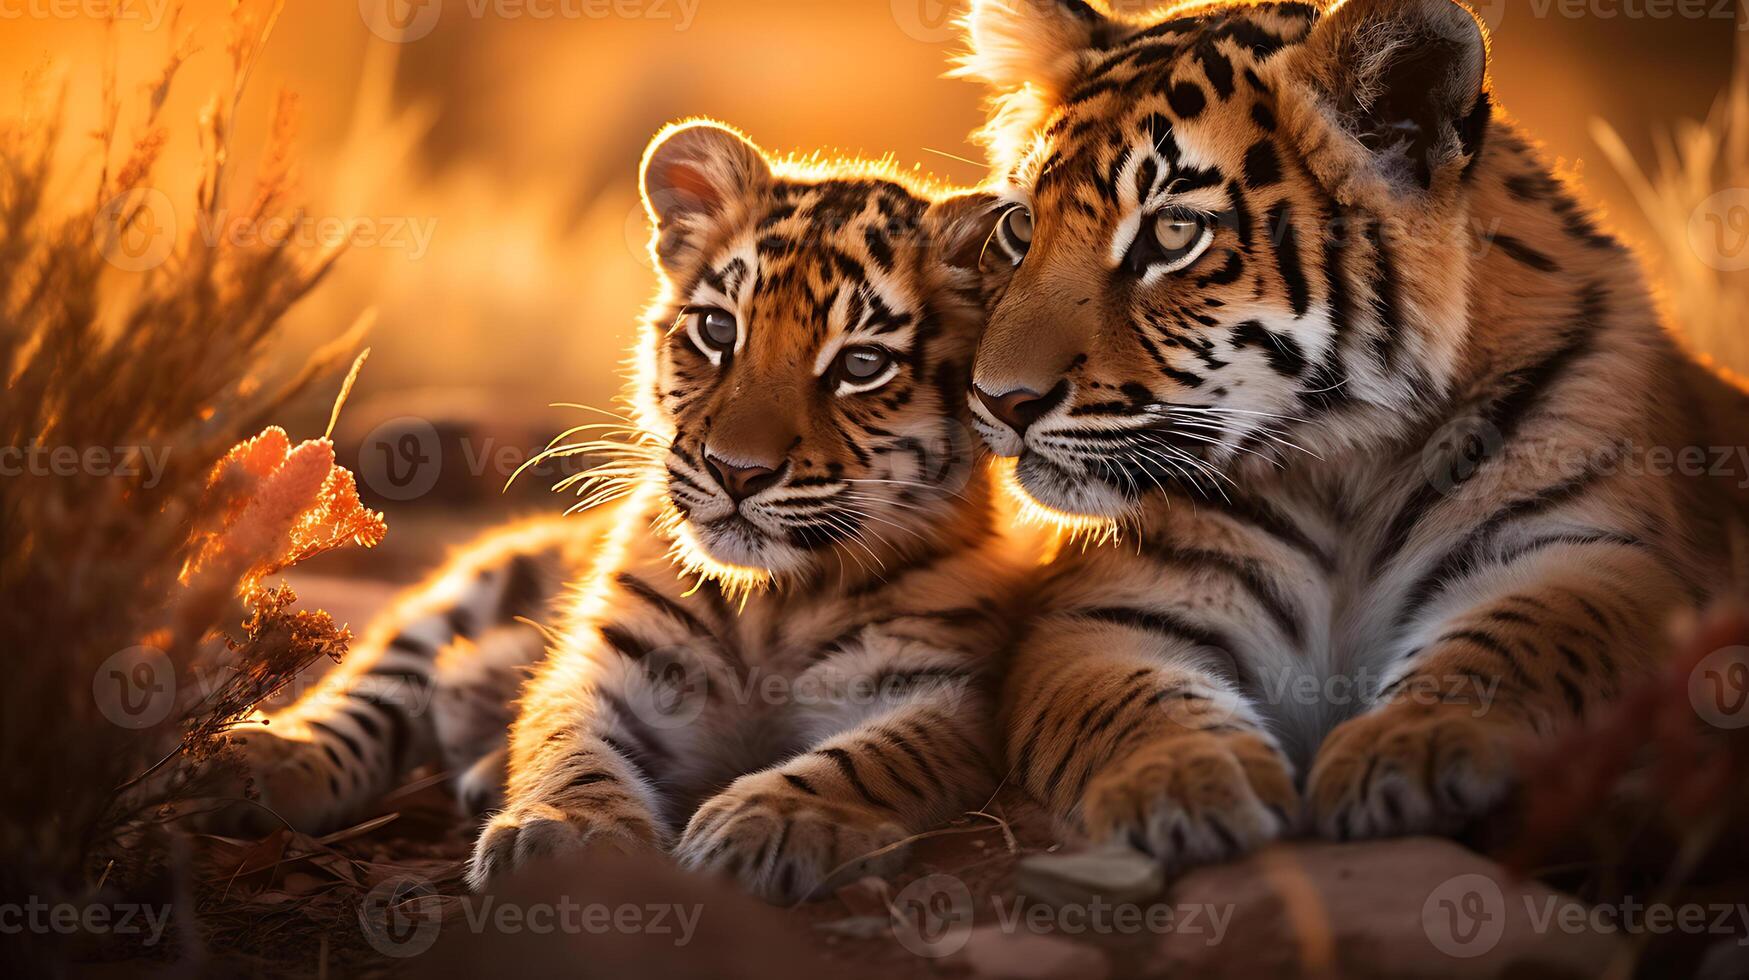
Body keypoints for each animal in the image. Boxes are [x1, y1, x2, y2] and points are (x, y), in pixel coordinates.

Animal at [951, 0, 1749, 871]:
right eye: (1019, 226)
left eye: (1171, 233)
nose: (998, 399)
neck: (1338, 465)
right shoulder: (1107, 612)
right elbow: (1127, 701)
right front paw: (1184, 779)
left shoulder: (1591, 554)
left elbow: (1511, 646)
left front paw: (1409, 750)